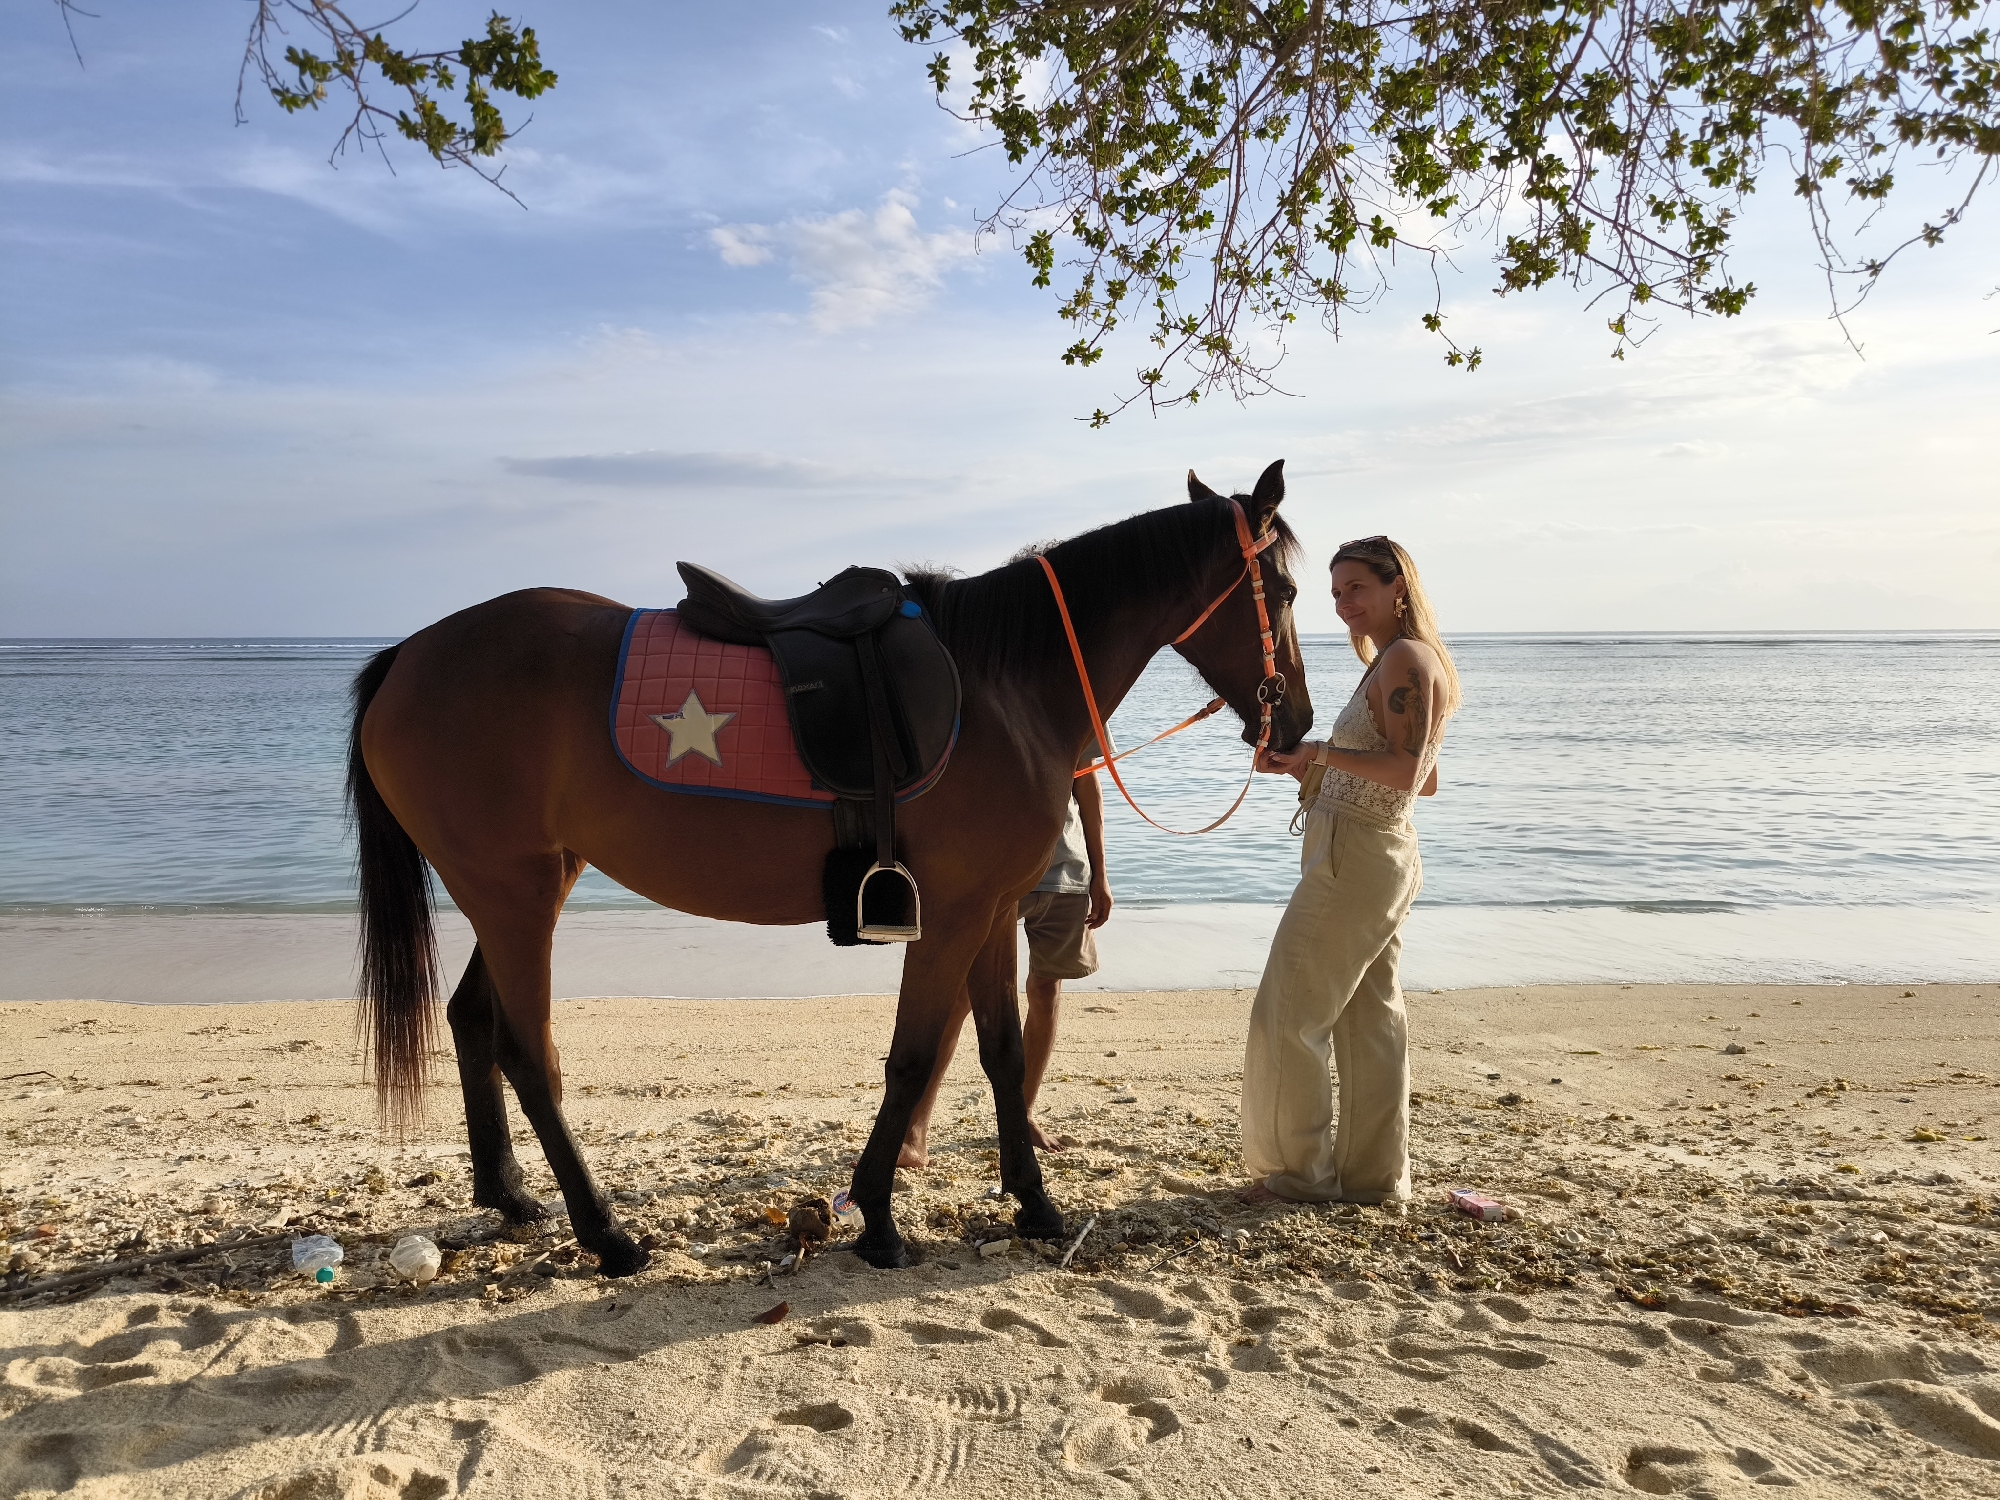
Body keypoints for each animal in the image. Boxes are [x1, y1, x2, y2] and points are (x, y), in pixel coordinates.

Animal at [346, 460, 1313, 1274]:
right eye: (1288, 590)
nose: (1297, 721)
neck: (1004, 682)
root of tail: (409, 654)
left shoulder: (994, 910)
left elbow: (1000, 1053)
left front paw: (1034, 1204)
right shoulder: (953, 913)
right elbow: (913, 1058)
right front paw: (880, 1219)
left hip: (532, 885)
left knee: (474, 1020)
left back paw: (510, 1193)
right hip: (514, 894)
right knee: (529, 1052)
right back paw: (606, 1233)